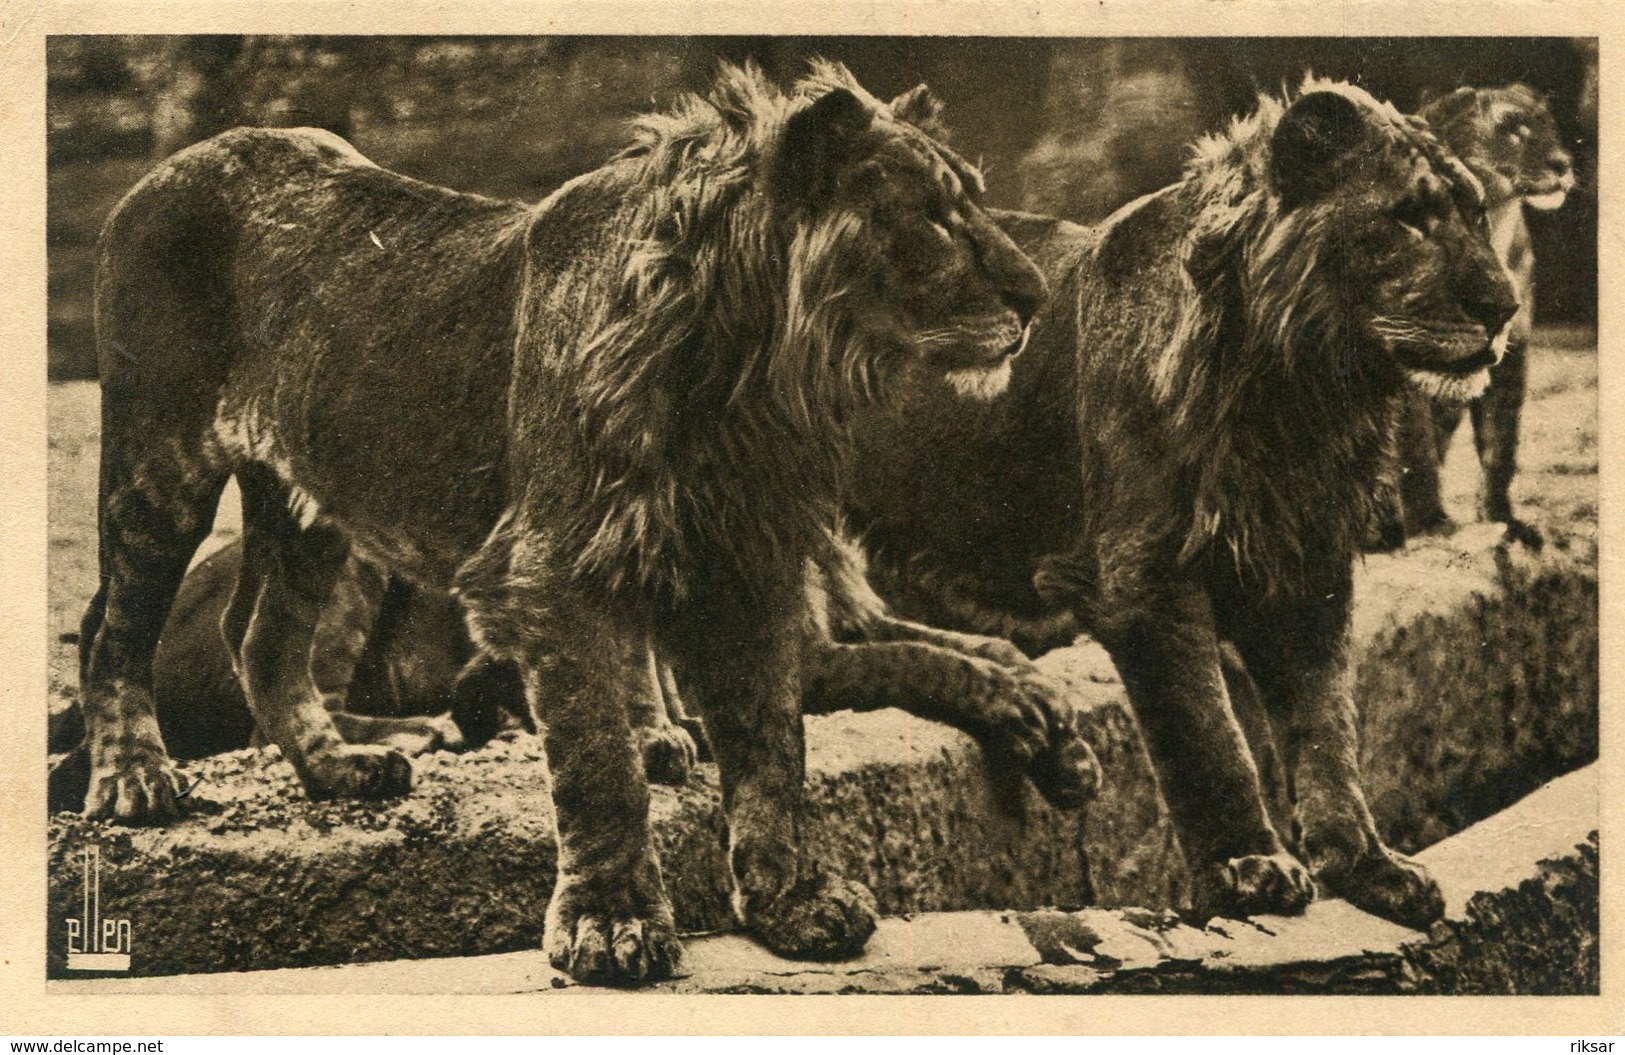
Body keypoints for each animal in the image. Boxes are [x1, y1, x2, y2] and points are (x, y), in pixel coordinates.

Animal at [76, 61, 1046, 981]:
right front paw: (610, 925)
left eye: (973, 201)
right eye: (931, 219)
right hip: (159, 457)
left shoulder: (746, 558)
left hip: (312, 497)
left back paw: (338, 769)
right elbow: (598, 763)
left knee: (263, 636)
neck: (750, 368)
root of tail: (172, 164)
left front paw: (793, 902)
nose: (1036, 296)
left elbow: (774, 747)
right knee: (112, 632)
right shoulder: (547, 568)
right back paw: (137, 780)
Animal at [851, 78, 1521, 923]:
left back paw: (1057, 750)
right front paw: (1249, 865)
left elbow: (1325, 724)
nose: (1504, 308)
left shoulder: (1305, 564)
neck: (1301, 392)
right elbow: (1208, 732)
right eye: (1407, 217)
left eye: (1475, 213)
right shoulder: (1144, 572)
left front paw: (1367, 864)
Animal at [1384, 83, 1573, 546]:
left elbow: (1500, 444)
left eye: (1548, 124)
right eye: (1514, 130)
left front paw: (1502, 518)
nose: (1564, 163)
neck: (1496, 225)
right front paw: (1431, 523)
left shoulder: (1511, 351)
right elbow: (1416, 448)